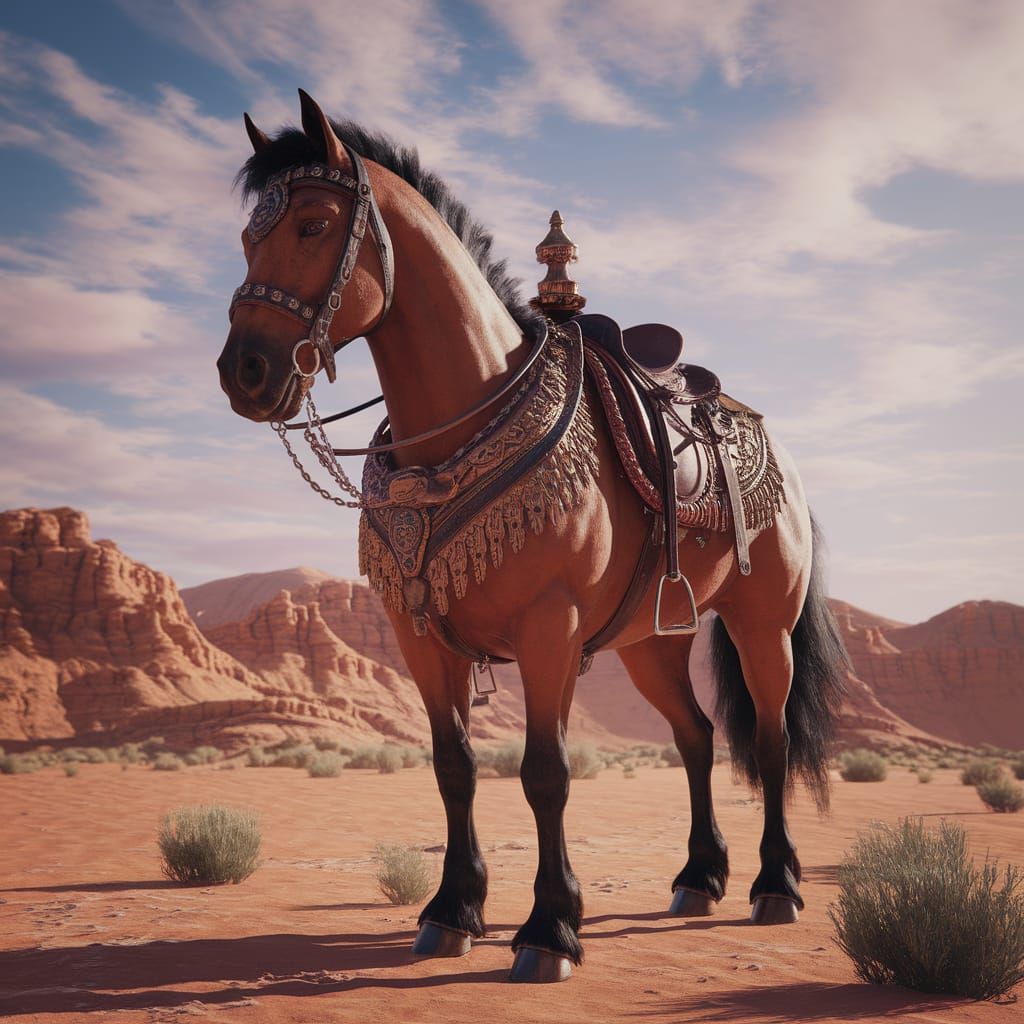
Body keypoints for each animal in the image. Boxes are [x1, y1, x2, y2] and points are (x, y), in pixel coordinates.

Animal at [217, 90, 847, 984]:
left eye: (310, 224)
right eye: (248, 235)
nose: (246, 371)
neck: (462, 424)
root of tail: (777, 451)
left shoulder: (549, 629)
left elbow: (545, 773)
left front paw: (549, 928)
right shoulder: (420, 636)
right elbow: (453, 767)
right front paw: (453, 910)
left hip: (764, 625)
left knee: (768, 738)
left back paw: (775, 884)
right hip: (650, 643)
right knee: (695, 737)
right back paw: (699, 876)